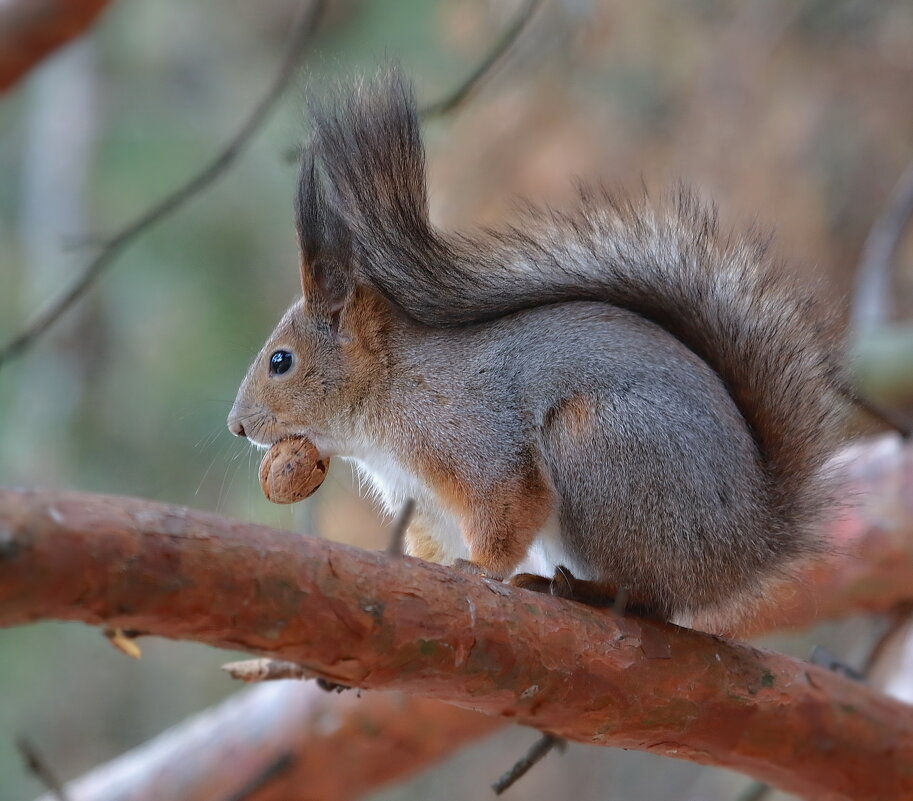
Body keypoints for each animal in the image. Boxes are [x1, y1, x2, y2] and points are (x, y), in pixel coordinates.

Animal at [226, 67, 840, 632]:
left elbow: (507, 505)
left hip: (604, 451)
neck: (390, 394)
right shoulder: (423, 505)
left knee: (651, 596)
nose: (237, 426)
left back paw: (578, 589)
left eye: (281, 361)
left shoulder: (477, 439)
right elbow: (435, 544)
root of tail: (753, 543)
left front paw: (480, 569)